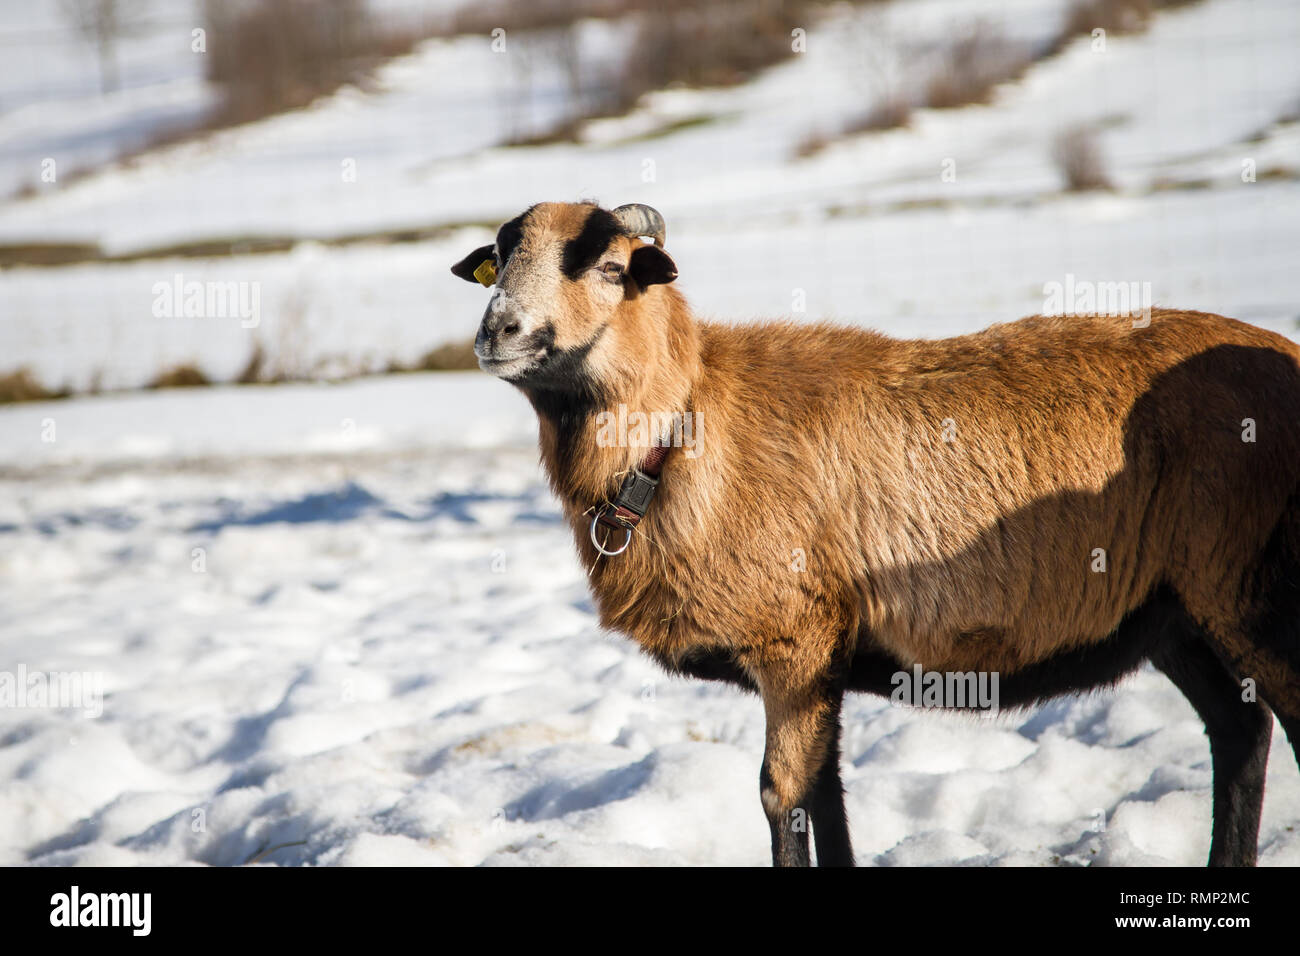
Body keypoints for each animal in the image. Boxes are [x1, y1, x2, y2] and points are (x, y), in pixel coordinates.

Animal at [450, 200, 1300, 867]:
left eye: (606, 266)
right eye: (499, 262)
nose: (499, 332)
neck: (680, 431)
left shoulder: (792, 644)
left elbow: (784, 797)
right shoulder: (821, 660)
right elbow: (826, 796)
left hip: (1245, 589)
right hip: (1175, 613)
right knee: (1240, 730)